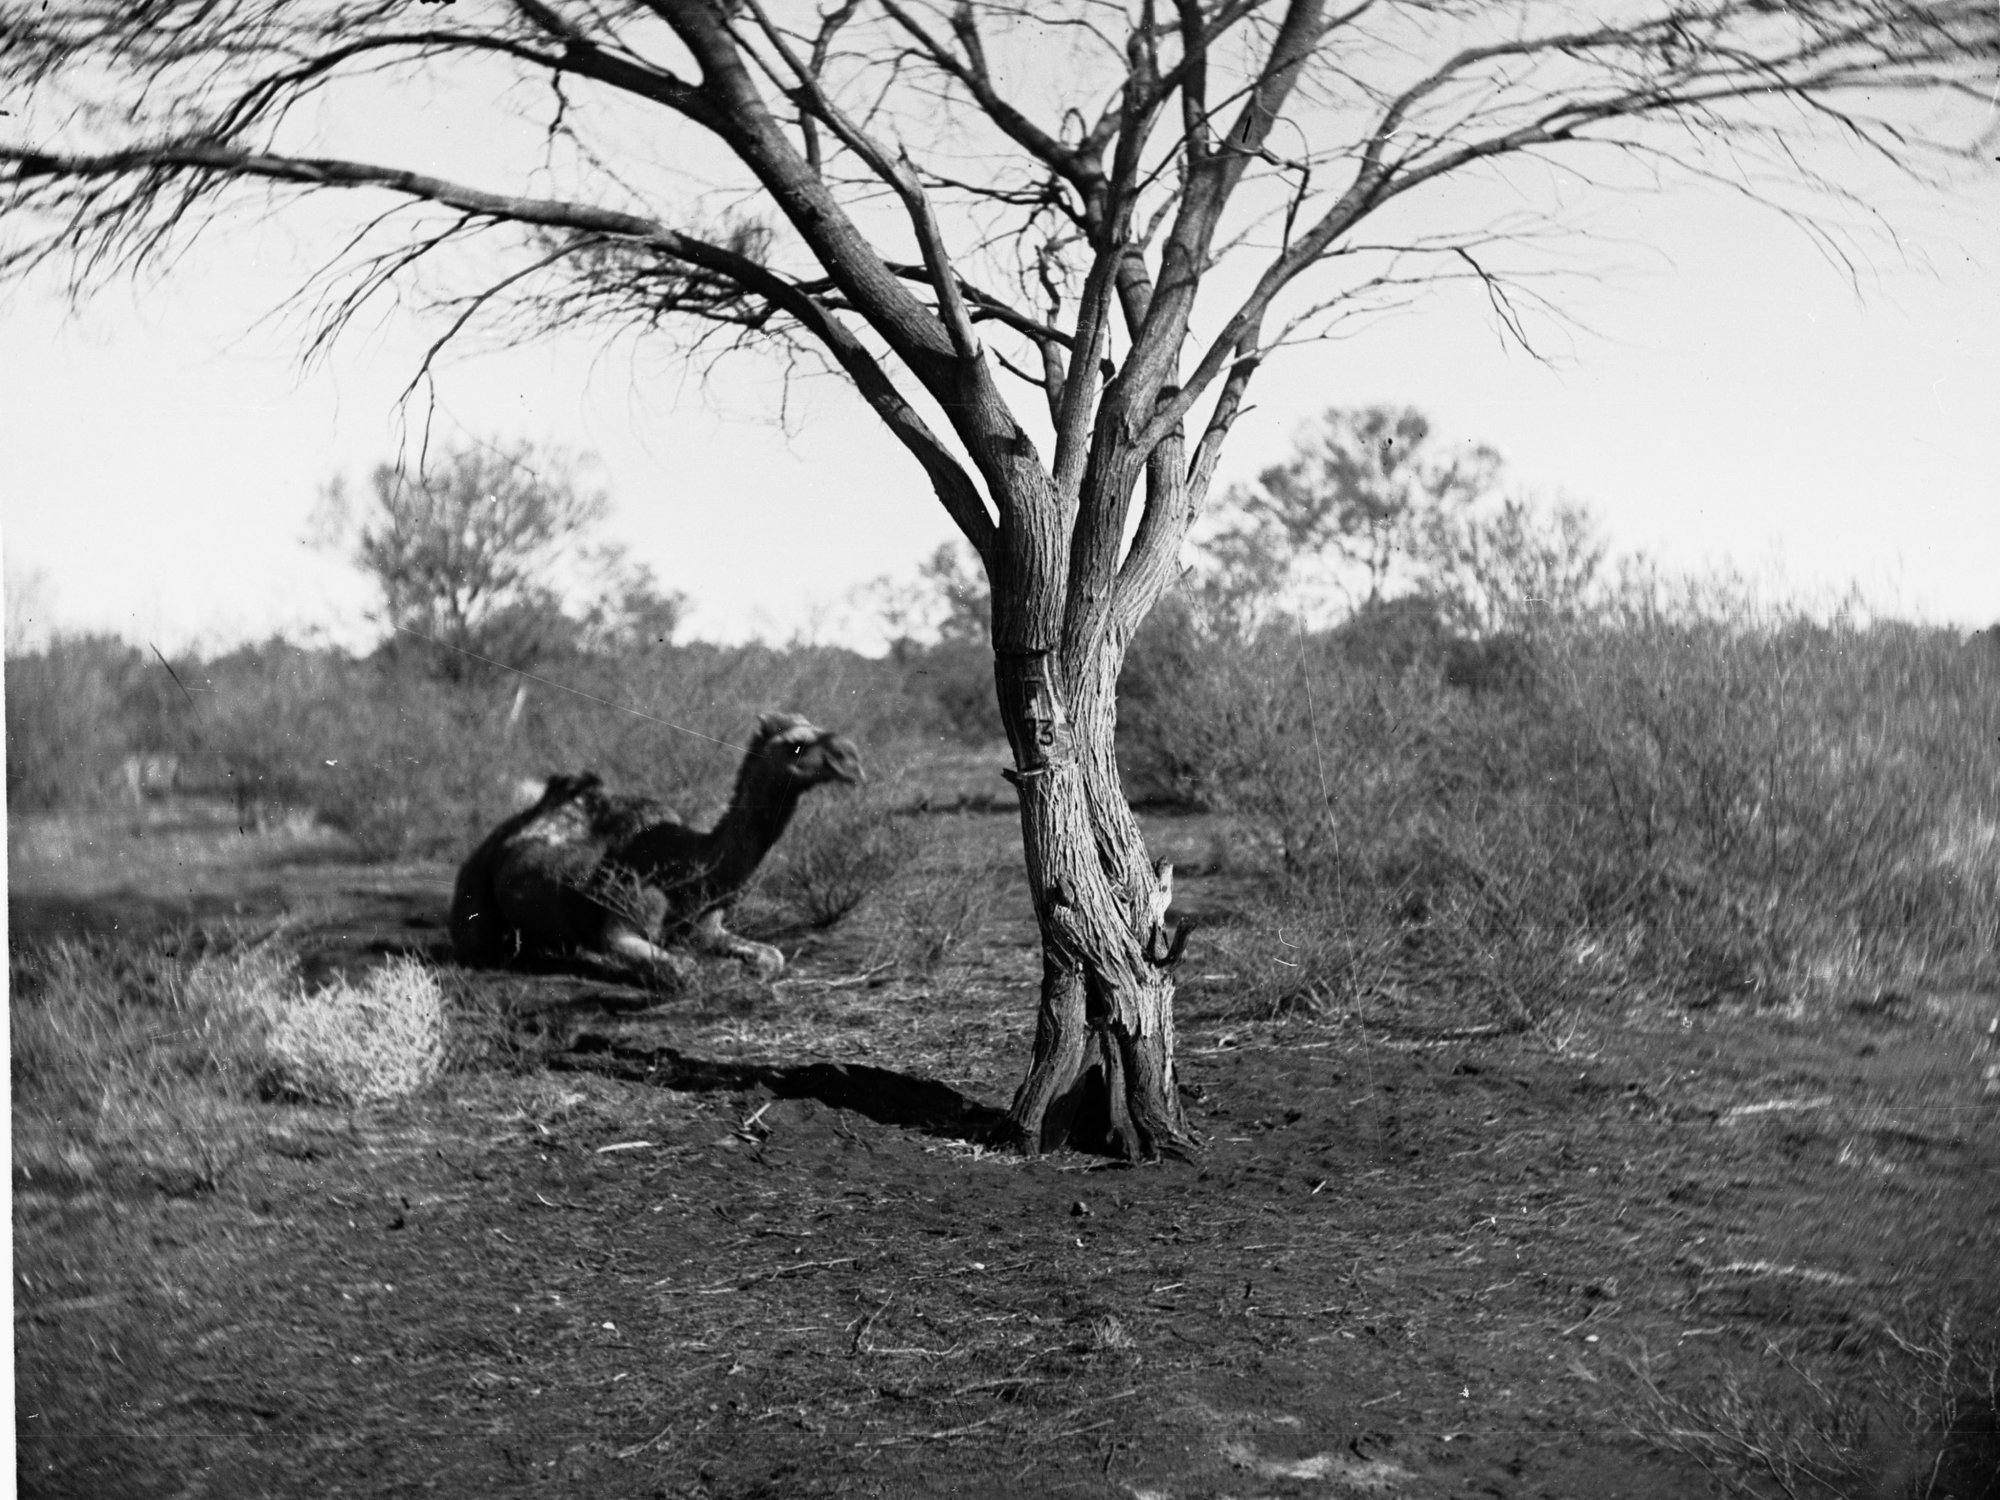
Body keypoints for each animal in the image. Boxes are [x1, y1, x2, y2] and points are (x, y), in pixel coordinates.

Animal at [448, 714, 863, 983]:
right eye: (797, 745)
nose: (853, 759)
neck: (691, 861)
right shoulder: (628, 915)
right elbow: (684, 969)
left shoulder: (707, 925)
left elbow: (773, 957)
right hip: (474, 894)